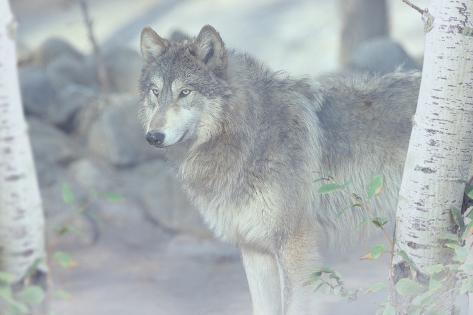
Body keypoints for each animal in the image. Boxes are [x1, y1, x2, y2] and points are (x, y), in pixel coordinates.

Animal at [137, 25, 420, 315]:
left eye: (185, 92)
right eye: (155, 92)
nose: (153, 136)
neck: (250, 134)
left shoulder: (295, 245)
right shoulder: (254, 248)